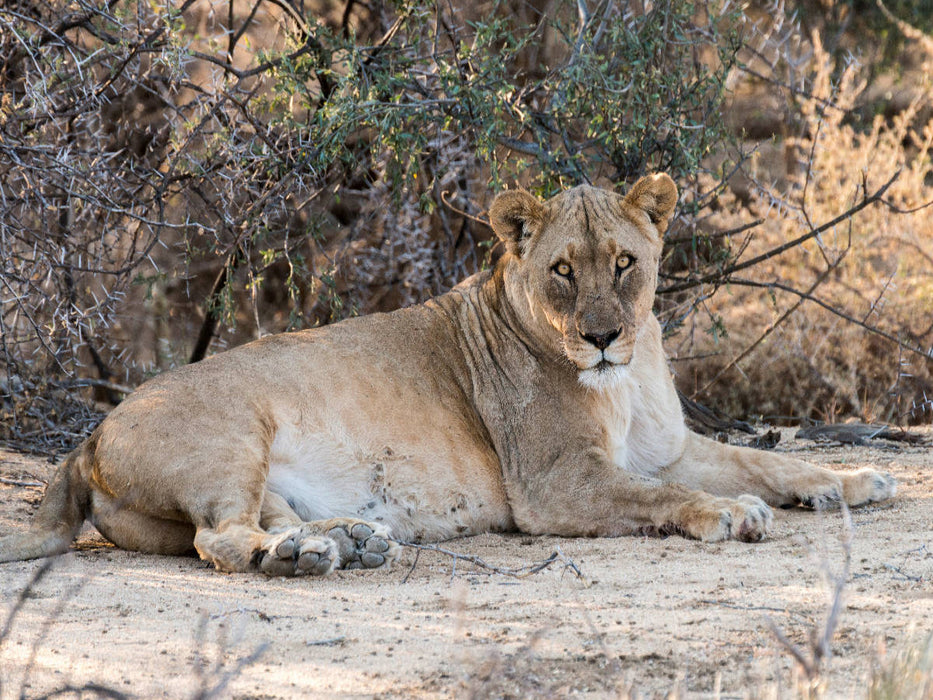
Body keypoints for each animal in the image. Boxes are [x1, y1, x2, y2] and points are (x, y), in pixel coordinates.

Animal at [0, 174, 897, 576]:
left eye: (623, 263)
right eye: (562, 271)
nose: (603, 336)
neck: (627, 376)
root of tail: (88, 436)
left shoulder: (667, 446)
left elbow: (766, 460)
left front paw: (851, 481)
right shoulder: (554, 485)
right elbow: (661, 496)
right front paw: (730, 513)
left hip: (253, 473)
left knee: (255, 521)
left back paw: (348, 541)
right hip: (231, 432)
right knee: (219, 538)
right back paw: (302, 559)